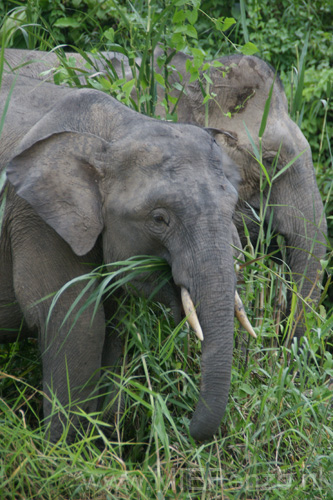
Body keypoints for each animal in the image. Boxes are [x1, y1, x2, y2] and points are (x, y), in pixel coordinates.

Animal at [0, 71, 249, 442]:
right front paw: (60, 449)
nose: (184, 428)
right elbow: (77, 324)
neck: (115, 131)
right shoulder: (35, 217)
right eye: (159, 219)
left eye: (232, 208)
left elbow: (112, 327)